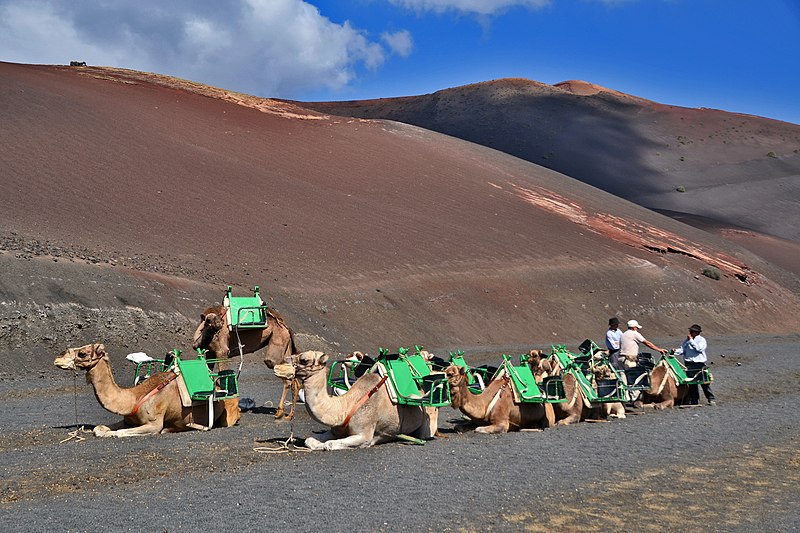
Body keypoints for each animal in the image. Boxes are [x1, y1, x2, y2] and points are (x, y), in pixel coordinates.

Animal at [55, 344, 239, 436]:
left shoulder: (154, 423)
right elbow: (99, 429)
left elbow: (119, 433)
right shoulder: (128, 419)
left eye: (82, 353)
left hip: (228, 416)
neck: (134, 398)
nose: (58, 358)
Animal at [290, 352, 438, 450]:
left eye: (304, 359)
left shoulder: (364, 435)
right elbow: (310, 440)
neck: (347, 405)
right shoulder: (335, 430)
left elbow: (330, 444)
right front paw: (317, 444)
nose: (286, 359)